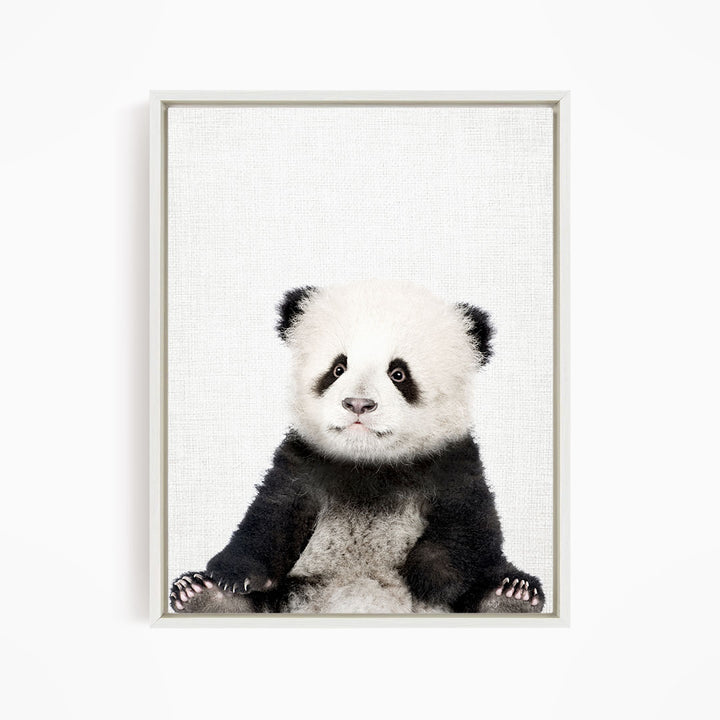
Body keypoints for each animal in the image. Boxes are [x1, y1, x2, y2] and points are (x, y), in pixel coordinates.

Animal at [170, 280, 545, 614]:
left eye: (398, 374)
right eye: (338, 368)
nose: (359, 404)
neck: (368, 464)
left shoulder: (451, 462)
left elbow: (470, 525)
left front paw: (433, 578)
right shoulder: (304, 463)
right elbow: (271, 515)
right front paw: (233, 575)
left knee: (494, 578)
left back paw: (510, 596)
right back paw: (204, 596)